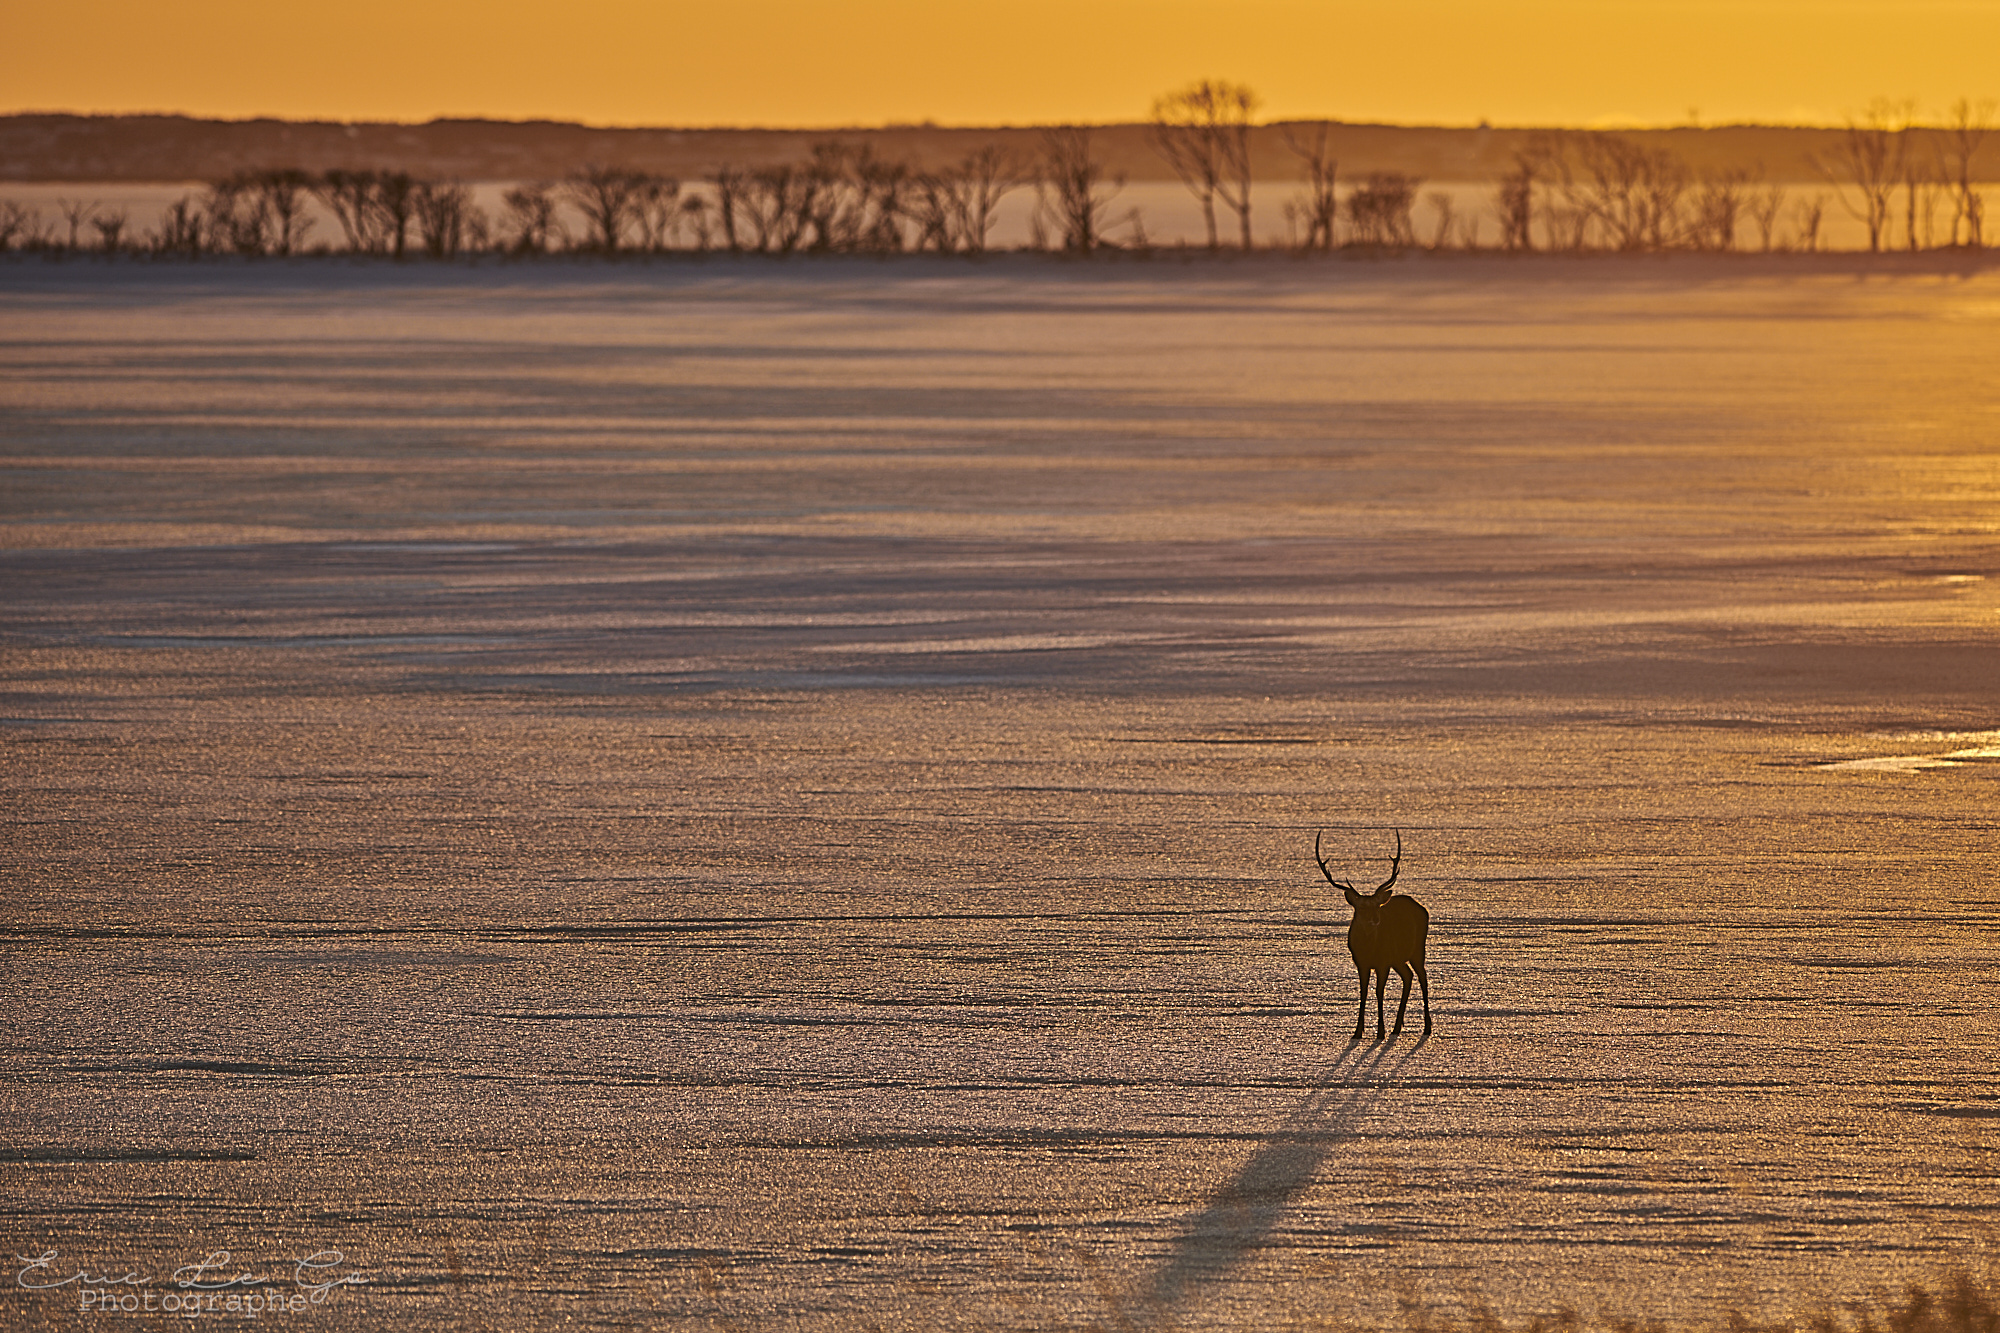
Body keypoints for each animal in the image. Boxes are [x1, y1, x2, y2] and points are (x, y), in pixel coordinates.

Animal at [1315, 829, 1430, 1041]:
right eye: (1361, 907)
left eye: (1377, 906)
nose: (1376, 919)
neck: (1368, 949)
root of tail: (1422, 908)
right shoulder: (1361, 963)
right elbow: (1364, 992)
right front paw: (1358, 1031)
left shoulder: (1382, 962)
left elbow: (1379, 992)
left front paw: (1380, 1031)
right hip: (1398, 958)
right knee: (1408, 976)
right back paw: (1397, 1027)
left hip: (1418, 948)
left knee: (1422, 978)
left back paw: (1427, 1027)